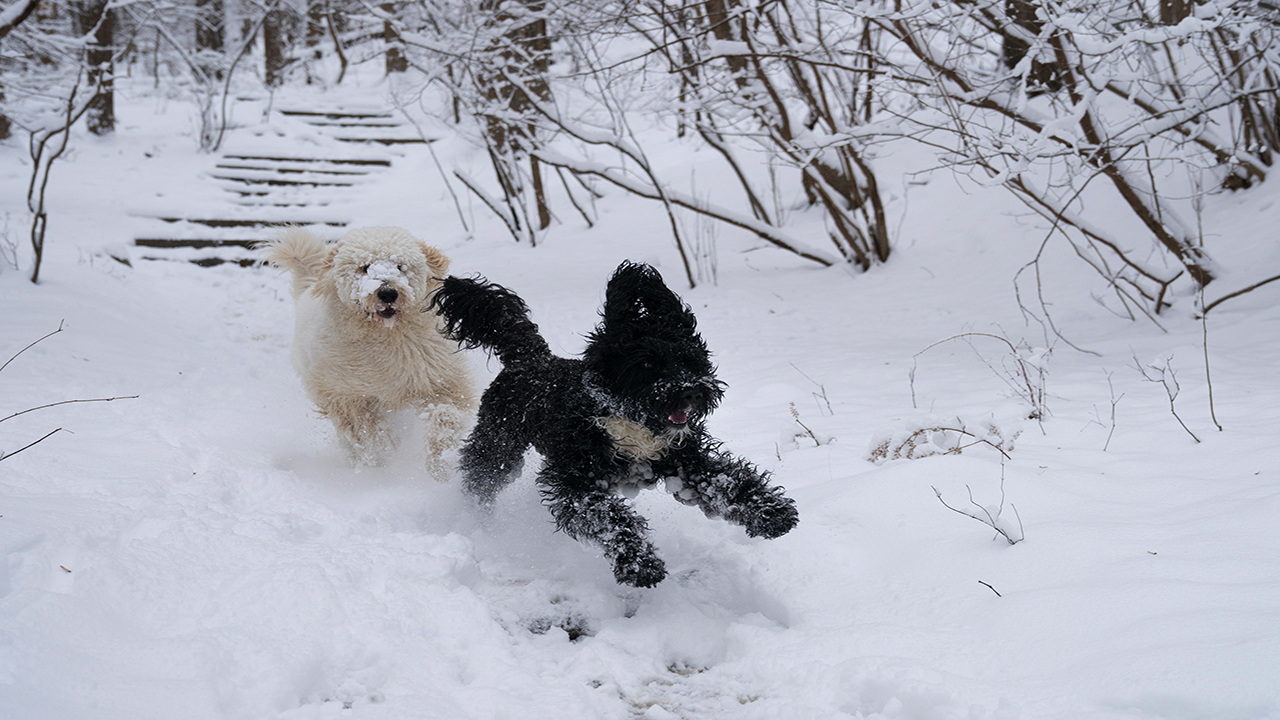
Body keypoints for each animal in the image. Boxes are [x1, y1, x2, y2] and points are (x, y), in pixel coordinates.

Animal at [264, 225, 476, 471]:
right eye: (364, 267)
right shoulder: (344, 393)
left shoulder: (437, 376)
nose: (387, 292)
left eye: (400, 266)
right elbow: (365, 427)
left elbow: (449, 410)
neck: (387, 335)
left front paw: (442, 441)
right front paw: (384, 449)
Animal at [430, 260, 793, 586]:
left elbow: (726, 480)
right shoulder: (574, 483)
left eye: (689, 359)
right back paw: (479, 523)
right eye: (647, 364)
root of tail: (530, 358)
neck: (632, 422)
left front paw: (772, 512)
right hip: (498, 445)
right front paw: (640, 564)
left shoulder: (684, 461)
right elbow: (612, 519)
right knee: (479, 482)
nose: (690, 391)